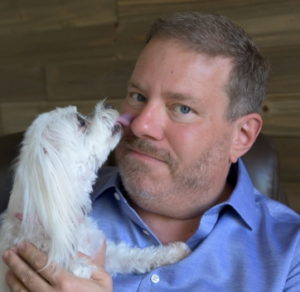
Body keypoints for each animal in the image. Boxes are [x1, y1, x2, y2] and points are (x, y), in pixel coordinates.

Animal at [0, 100, 190, 290]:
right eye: (81, 122)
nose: (109, 104)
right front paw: (78, 267)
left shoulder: (104, 252)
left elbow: (131, 256)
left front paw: (172, 252)